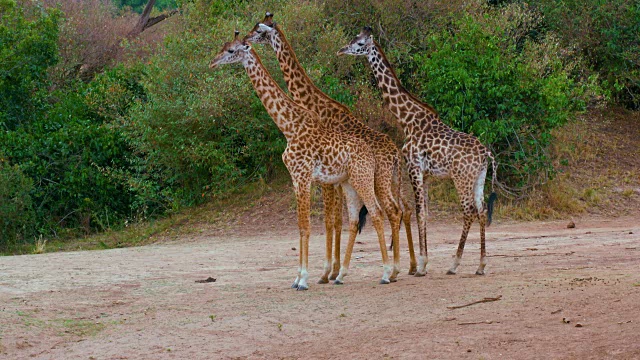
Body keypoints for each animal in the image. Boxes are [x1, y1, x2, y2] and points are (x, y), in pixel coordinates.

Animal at [210, 31, 392, 290]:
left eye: (231, 50)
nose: (212, 63)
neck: (289, 126)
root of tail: (371, 153)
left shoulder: (304, 175)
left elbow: (306, 227)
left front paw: (304, 279)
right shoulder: (295, 178)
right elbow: (300, 226)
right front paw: (297, 278)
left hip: (363, 178)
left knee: (377, 213)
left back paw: (387, 273)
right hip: (349, 183)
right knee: (357, 219)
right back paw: (345, 275)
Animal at [245, 12, 420, 282]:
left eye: (259, 31)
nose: (244, 38)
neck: (312, 104)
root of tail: (394, 152)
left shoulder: (328, 179)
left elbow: (331, 221)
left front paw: (327, 272)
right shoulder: (336, 179)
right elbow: (339, 220)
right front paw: (334, 270)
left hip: (377, 180)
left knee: (392, 211)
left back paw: (393, 270)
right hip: (392, 180)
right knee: (405, 209)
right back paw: (410, 266)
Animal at [338, 26, 498, 276]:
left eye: (360, 43)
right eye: (354, 38)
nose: (342, 50)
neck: (407, 119)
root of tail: (486, 154)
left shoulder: (413, 166)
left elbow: (419, 212)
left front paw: (422, 264)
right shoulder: (426, 173)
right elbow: (425, 214)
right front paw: (422, 262)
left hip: (461, 177)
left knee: (469, 211)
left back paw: (454, 264)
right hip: (479, 177)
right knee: (481, 211)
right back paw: (481, 265)